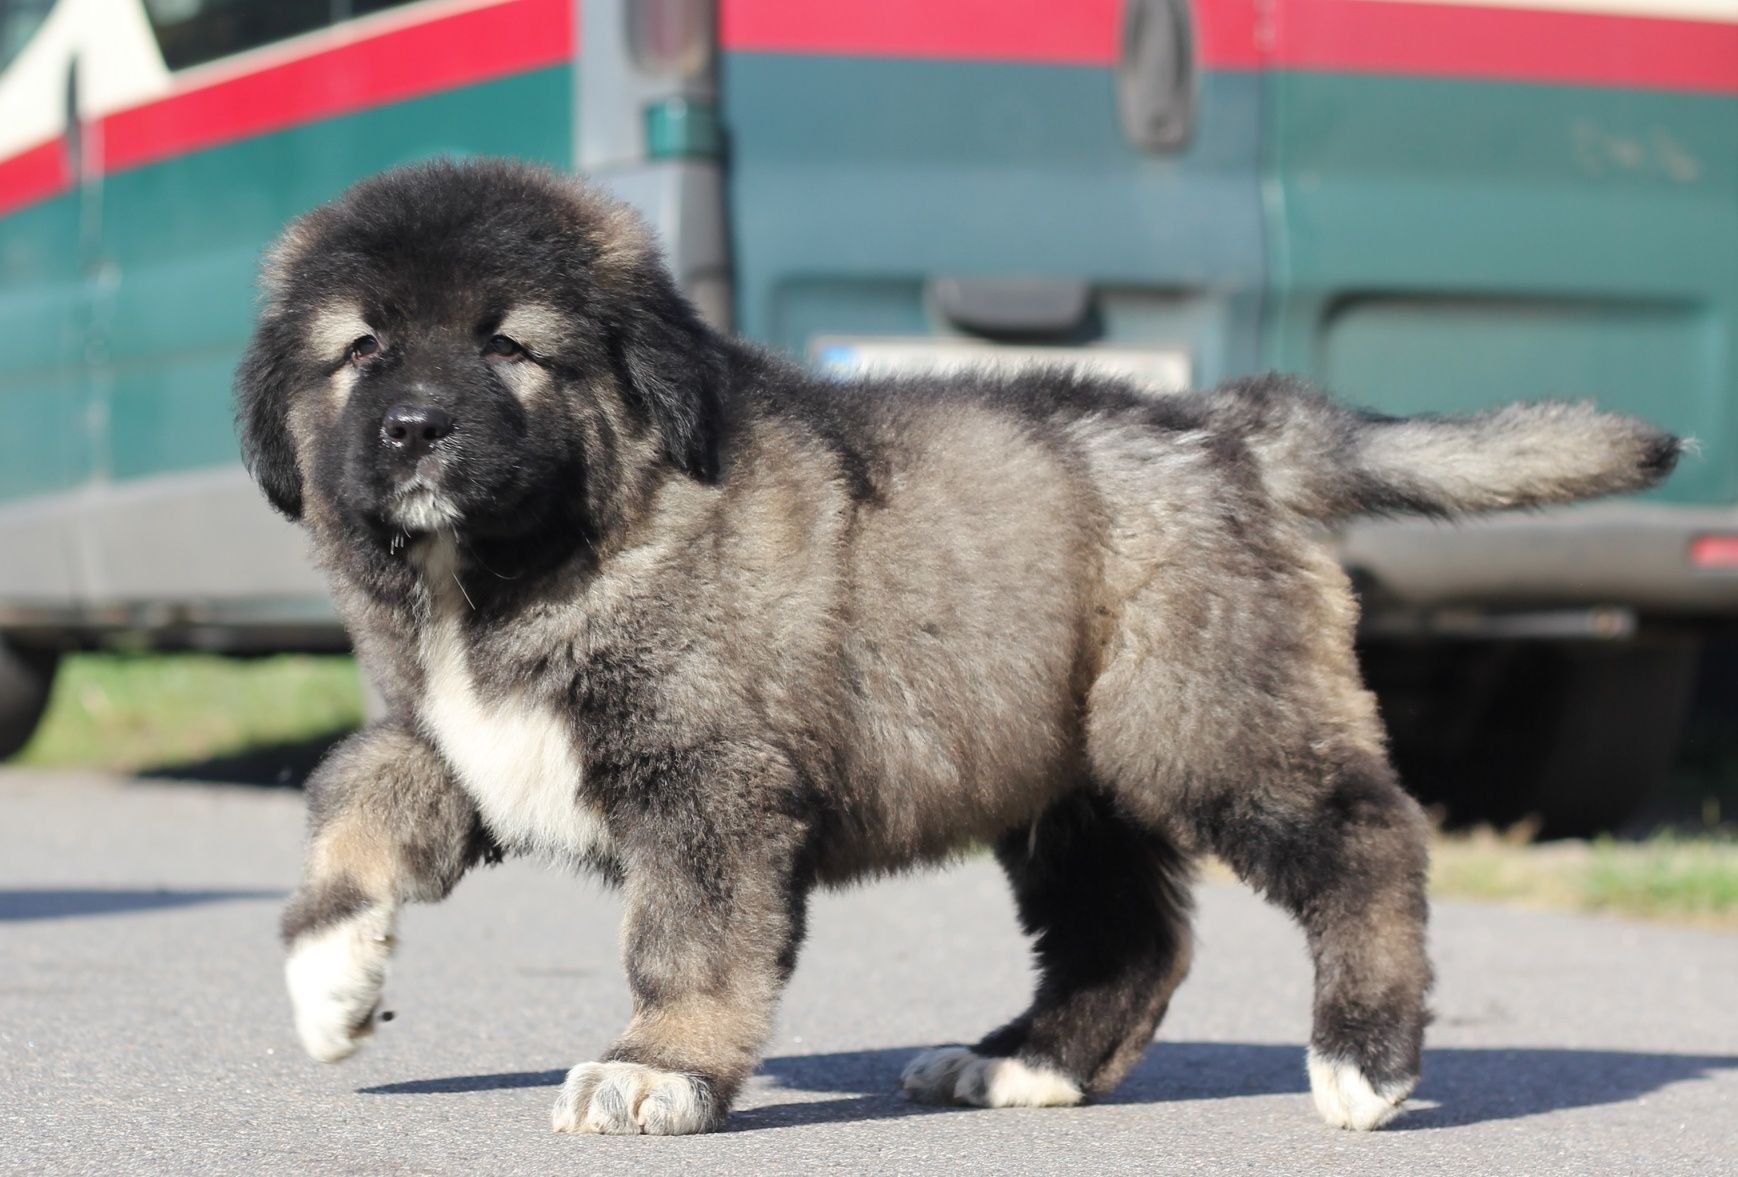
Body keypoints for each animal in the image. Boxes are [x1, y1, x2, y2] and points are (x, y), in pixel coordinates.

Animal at [238, 160, 1675, 1133]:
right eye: (360, 349)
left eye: (510, 347)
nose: (414, 428)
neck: (523, 567)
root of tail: (1234, 428)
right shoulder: (458, 731)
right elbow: (355, 789)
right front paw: (329, 977)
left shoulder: (710, 784)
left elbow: (688, 937)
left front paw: (657, 1068)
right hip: (1072, 776)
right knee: (1129, 934)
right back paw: (1026, 1060)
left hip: (1200, 714)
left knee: (1365, 835)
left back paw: (1362, 1060)